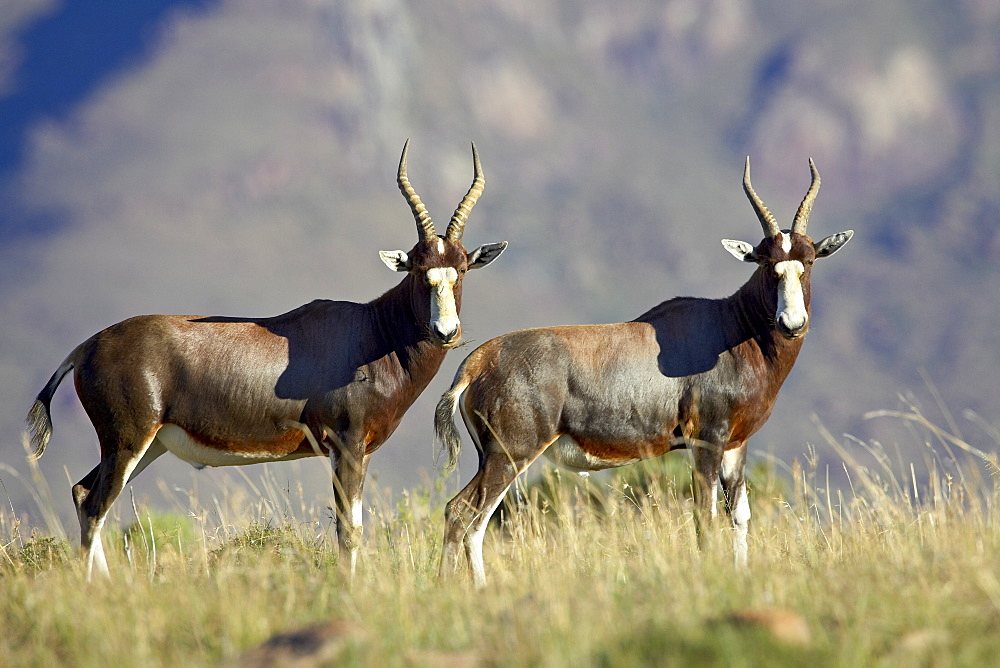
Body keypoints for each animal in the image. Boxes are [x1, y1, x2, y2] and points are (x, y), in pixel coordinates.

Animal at [23, 141, 508, 580]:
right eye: (419, 271)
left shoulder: (359, 452)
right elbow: (349, 531)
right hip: (127, 441)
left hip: (147, 445)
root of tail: (87, 346)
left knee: (84, 494)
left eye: (462, 269)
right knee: (94, 504)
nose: (446, 332)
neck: (371, 330)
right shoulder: (346, 445)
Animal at [436, 157, 852, 584]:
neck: (729, 325)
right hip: (510, 454)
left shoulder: (736, 444)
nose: (792, 323)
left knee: (474, 521)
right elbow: (705, 517)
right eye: (768, 264)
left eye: (808, 260)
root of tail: (476, 362)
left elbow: (739, 516)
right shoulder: (706, 441)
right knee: (462, 512)